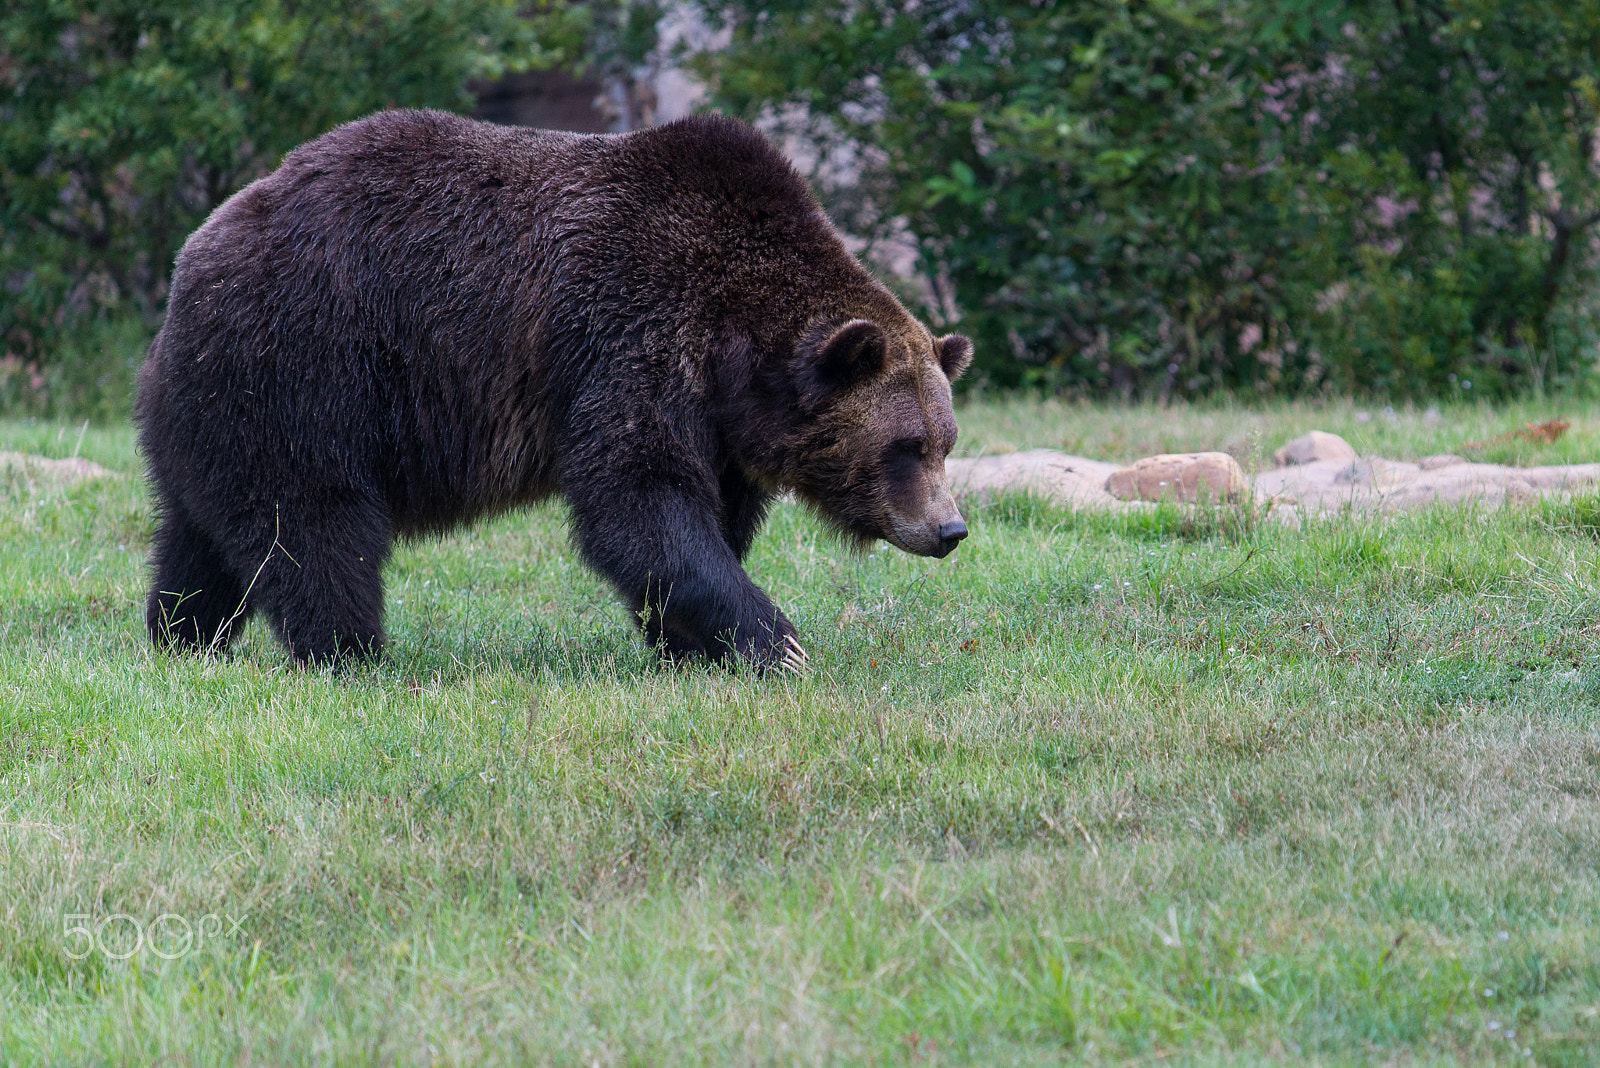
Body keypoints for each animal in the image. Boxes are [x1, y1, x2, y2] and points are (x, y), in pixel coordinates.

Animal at [134, 112, 972, 671]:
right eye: (905, 446)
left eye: (946, 442)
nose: (951, 529)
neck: (734, 351)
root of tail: (190, 262)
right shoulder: (628, 332)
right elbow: (638, 497)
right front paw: (774, 639)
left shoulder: (718, 424)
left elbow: (703, 516)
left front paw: (689, 643)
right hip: (302, 365)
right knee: (314, 524)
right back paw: (349, 651)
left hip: (213, 408)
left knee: (199, 538)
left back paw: (182, 637)